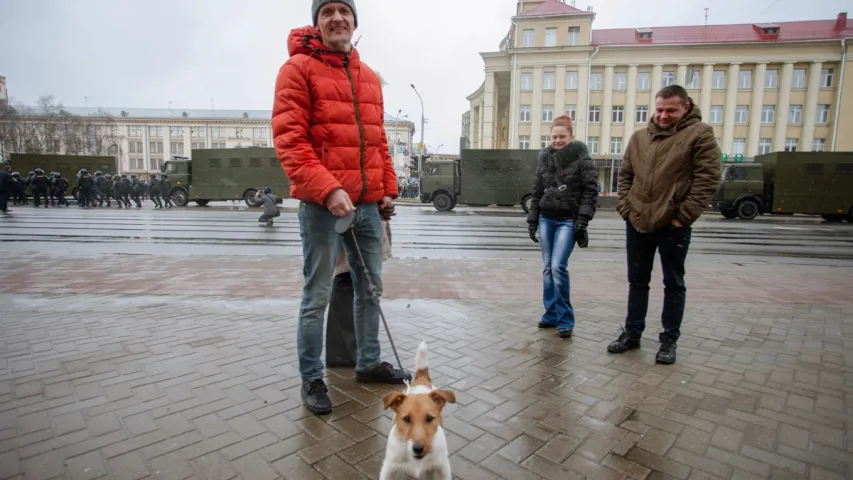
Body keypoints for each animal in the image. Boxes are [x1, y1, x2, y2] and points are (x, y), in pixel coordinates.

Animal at [380, 342, 456, 480]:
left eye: (429, 418)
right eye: (406, 419)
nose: (418, 449)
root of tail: (421, 379)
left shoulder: (443, 469)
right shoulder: (388, 469)